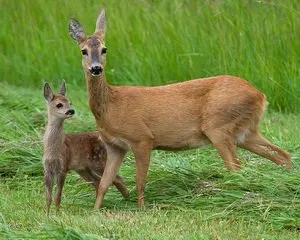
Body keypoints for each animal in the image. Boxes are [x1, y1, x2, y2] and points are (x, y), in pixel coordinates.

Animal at [42, 81, 129, 215]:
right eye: (59, 105)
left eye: (70, 102)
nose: (71, 111)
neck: (54, 149)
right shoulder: (47, 169)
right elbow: (48, 197)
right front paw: (46, 214)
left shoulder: (63, 167)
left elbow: (58, 196)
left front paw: (57, 214)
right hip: (84, 169)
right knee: (98, 182)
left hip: (99, 162)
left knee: (117, 179)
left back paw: (127, 200)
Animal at [68, 8, 290, 210]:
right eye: (83, 50)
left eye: (104, 49)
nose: (96, 68)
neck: (111, 106)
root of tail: (260, 96)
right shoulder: (115, 146)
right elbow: (104, 183)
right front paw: (95, 212)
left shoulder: (142, 138)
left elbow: (140, 181)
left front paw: (142, 210)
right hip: (245, 132)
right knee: (283, 155)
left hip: (218, 126)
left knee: (237, 167)